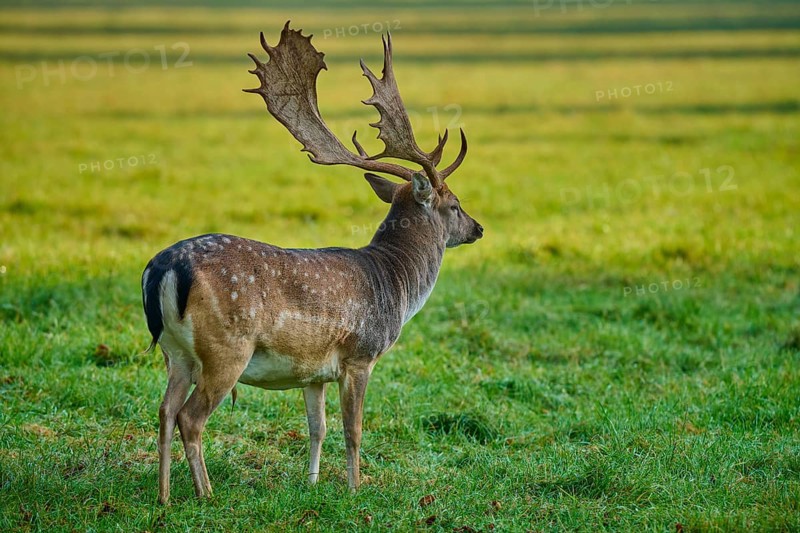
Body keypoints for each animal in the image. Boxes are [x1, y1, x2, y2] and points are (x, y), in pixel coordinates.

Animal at [142, 22, 483, 504]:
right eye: (454, 205)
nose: (478, 228)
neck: (394, 285)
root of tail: (164, 267)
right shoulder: (360, 354)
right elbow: (353, 430)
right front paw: (356, 489)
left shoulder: (314, 372)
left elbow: (316, 428)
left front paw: (312, 483)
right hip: (226, 348)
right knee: (190, 417)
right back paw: (206, 493)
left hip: (175, 353)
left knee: (164, 411)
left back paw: (165, 496)